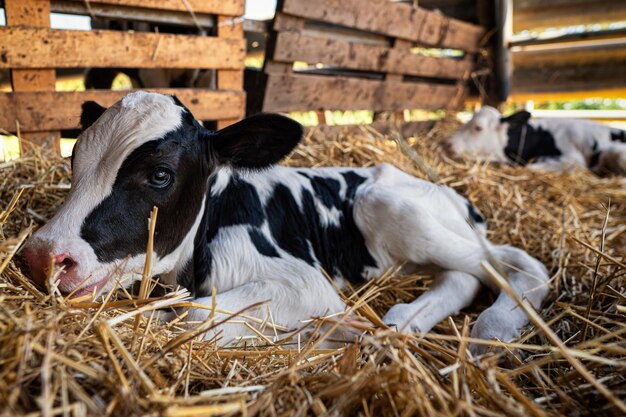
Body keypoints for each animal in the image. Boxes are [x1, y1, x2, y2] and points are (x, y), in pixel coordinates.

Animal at [22, 92, 544, 352]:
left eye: (160, 174)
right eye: (74, 156)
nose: (42, 256)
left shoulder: (307, 284)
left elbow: (193, 314)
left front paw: (328, 332)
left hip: (391, 206)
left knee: (514, 266)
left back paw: (492, 329)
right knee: (461, 277)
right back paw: (403, 319)